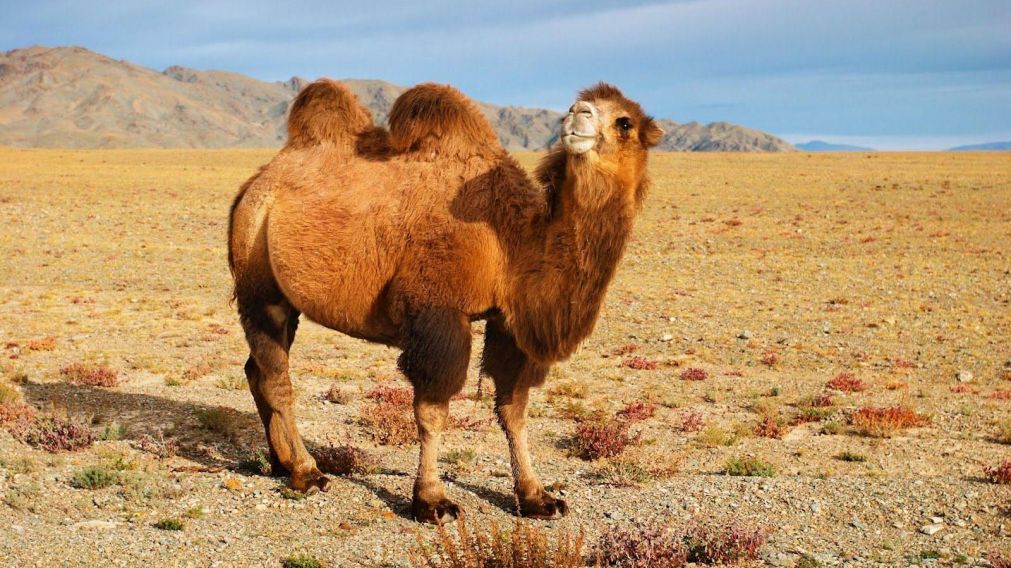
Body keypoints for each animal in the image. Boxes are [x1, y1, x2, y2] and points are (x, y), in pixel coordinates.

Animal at [227, 79, 662, 523]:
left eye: (624, 122)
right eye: (577, 107)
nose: (578, 113)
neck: (512, 240)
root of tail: (257, 183)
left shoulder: (508, 322)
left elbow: (514, 409)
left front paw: (538, 497)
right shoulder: (438, 312)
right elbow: (433, 411)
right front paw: (432, 500)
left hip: (284, 294)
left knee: (256, 369)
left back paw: (280, 462)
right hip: (258, 279)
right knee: (276, 376)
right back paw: (306, 472)